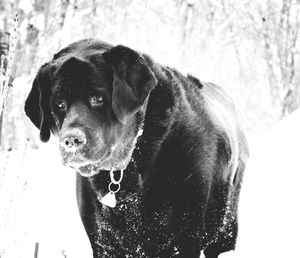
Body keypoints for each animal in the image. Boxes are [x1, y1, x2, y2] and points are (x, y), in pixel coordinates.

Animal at [24, 38, 248, 258]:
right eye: (59, 103)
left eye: (98, 99)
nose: (71, 140)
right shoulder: (103, 242)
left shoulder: (184, 238)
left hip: (224, 227)